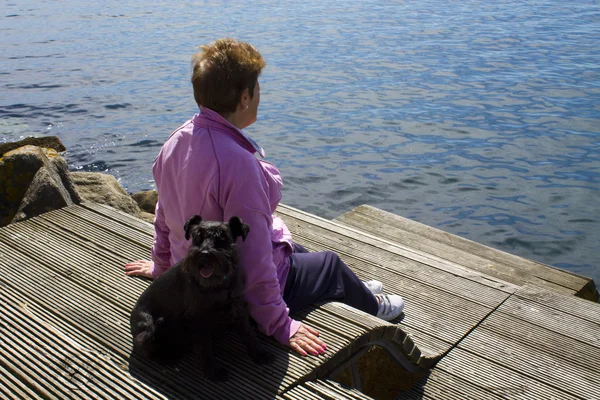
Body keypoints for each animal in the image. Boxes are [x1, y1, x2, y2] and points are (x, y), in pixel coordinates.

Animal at [130, 216, 276, 382]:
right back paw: (167, 357)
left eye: (223, 237)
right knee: (147, 347)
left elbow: (248, 332)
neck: (218, 285)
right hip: (148, 331)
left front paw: (259, 353)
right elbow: (204, 346)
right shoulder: (198, 318)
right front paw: (213, 371)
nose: (205, 254)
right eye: (197, 236)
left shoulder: (239, 306)